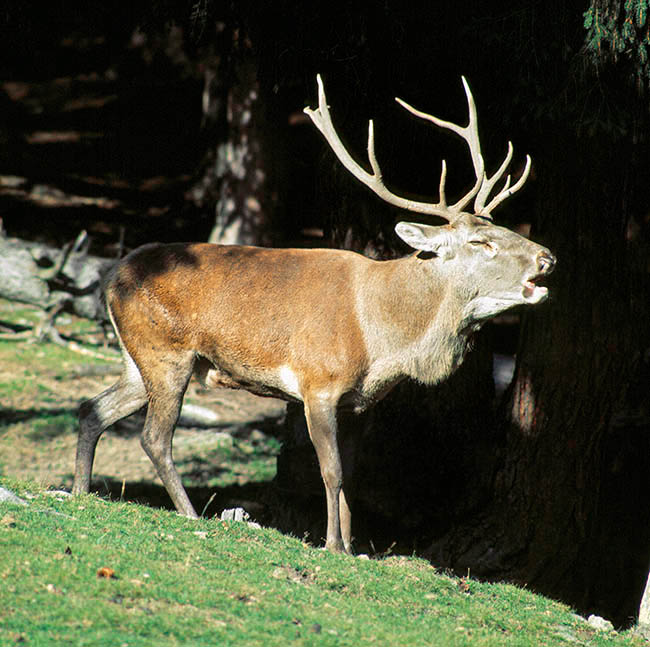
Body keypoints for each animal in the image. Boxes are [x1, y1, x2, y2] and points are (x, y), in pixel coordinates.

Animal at [73, 74, 556, 552]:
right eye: (481, 242)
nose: (547, 257)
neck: (382, 339)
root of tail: (112, 275)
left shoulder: (356, 403)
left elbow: (350, 477)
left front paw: (354, 548)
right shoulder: (317, 383)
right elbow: (331, 470)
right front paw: (333, 545)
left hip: (137, 358)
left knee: (92, 408)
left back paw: (80, 491)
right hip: (167, 352)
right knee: (154, 437)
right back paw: (190, 514)